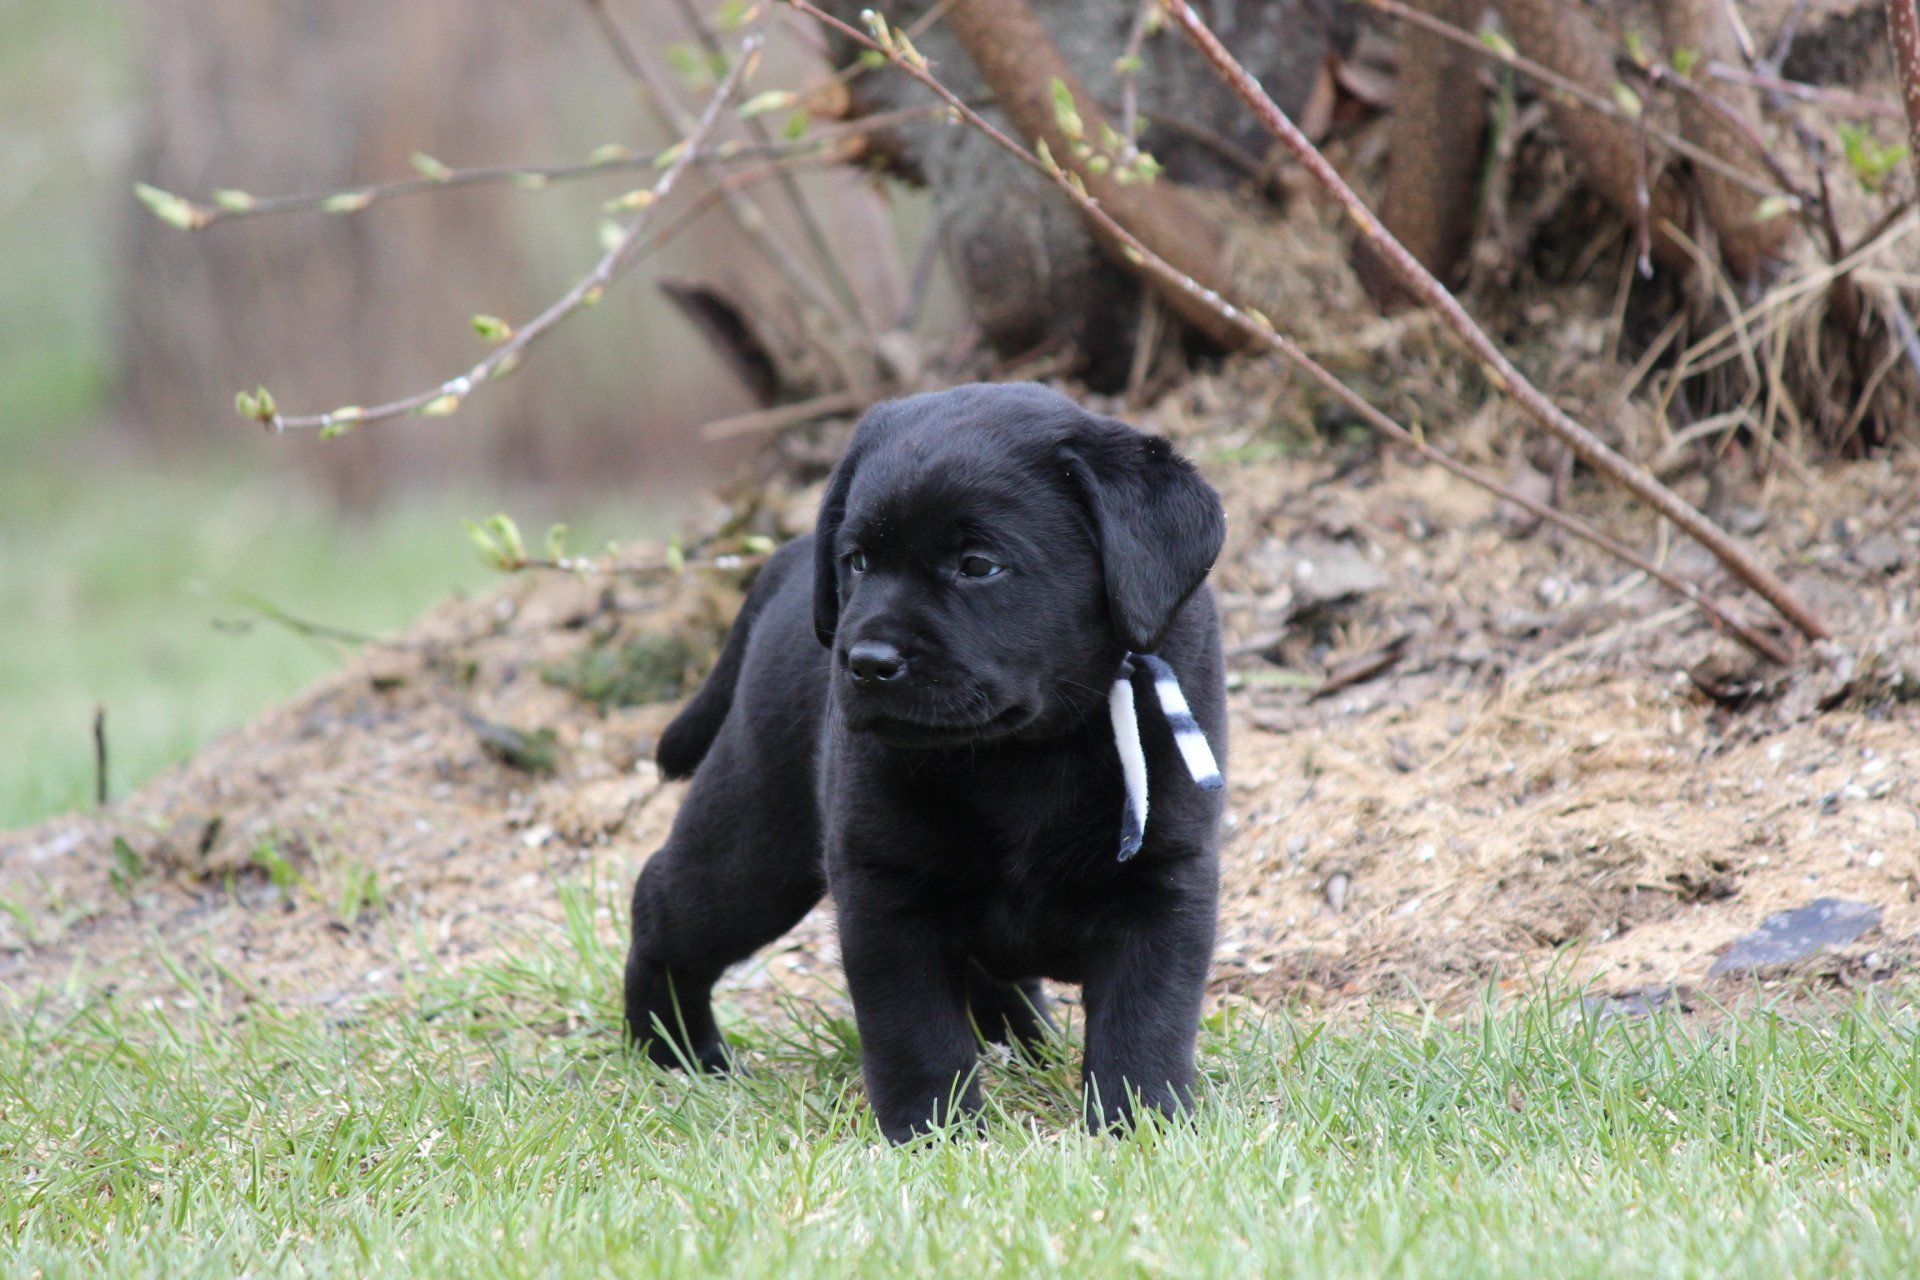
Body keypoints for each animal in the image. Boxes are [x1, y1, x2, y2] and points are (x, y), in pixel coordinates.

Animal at [629, 379, 1228, 1143]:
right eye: (857, 561)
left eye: (978, 565)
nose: (865, 662)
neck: (1023, 754)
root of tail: (788, 559)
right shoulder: (886, 886)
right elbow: (914, 1029)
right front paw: (935, 1132)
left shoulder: (1166, 875)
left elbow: (1144, 1020)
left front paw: (1139, 1125)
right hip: (756, 839)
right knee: (663, 901)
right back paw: (673, 1051)